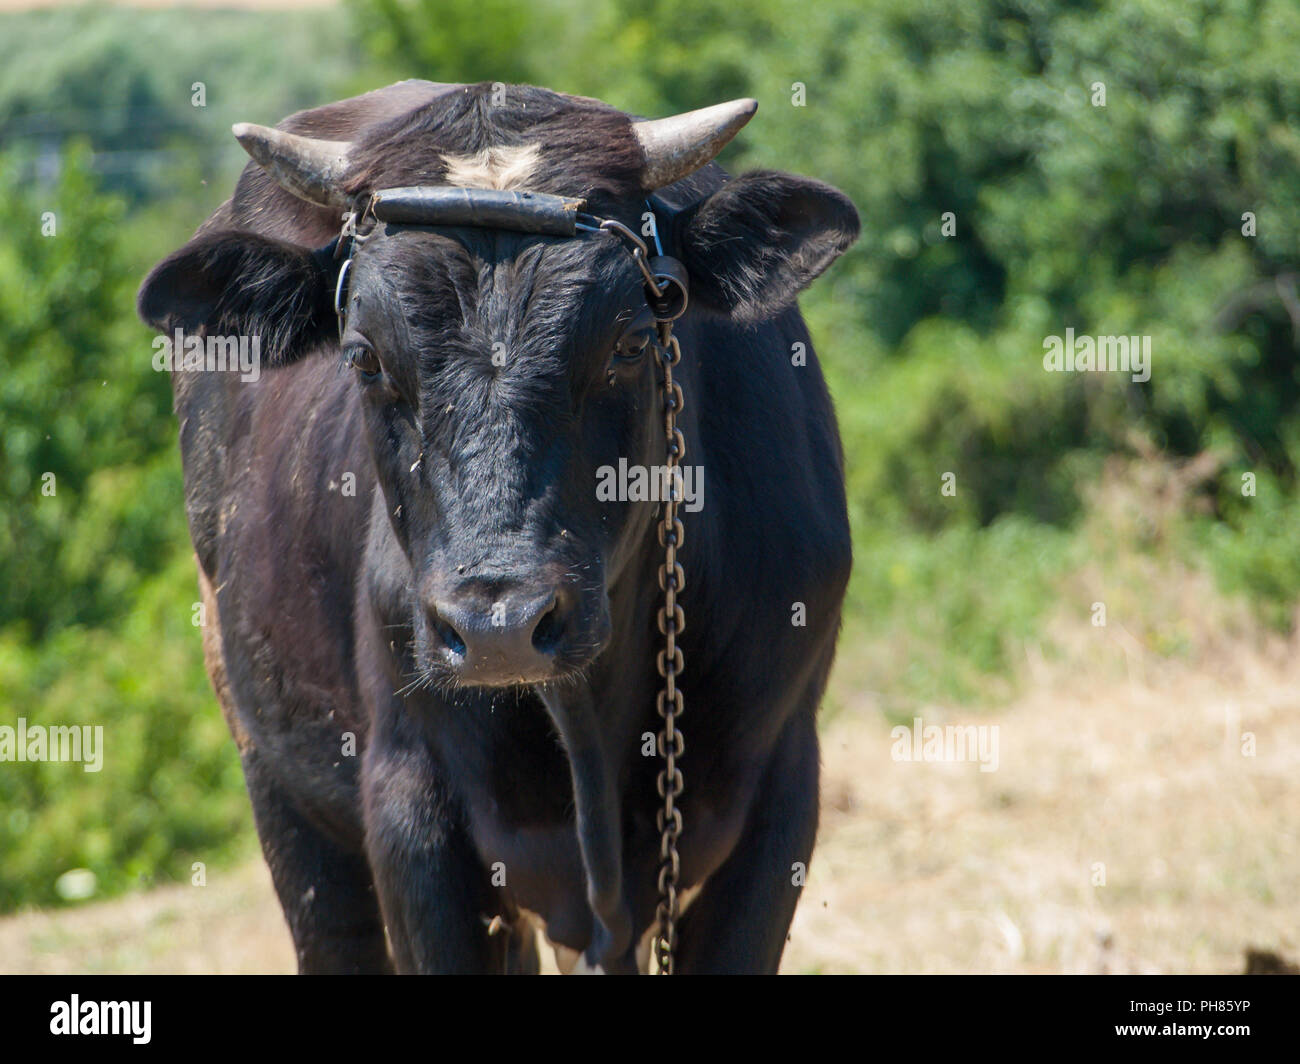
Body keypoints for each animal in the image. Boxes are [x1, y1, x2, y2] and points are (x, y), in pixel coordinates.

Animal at [137, 78, 857, 967]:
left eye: (629, 342)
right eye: (363, 356)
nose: (498, 627)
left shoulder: (781, 791)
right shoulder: (411, 818)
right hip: (280, 783)